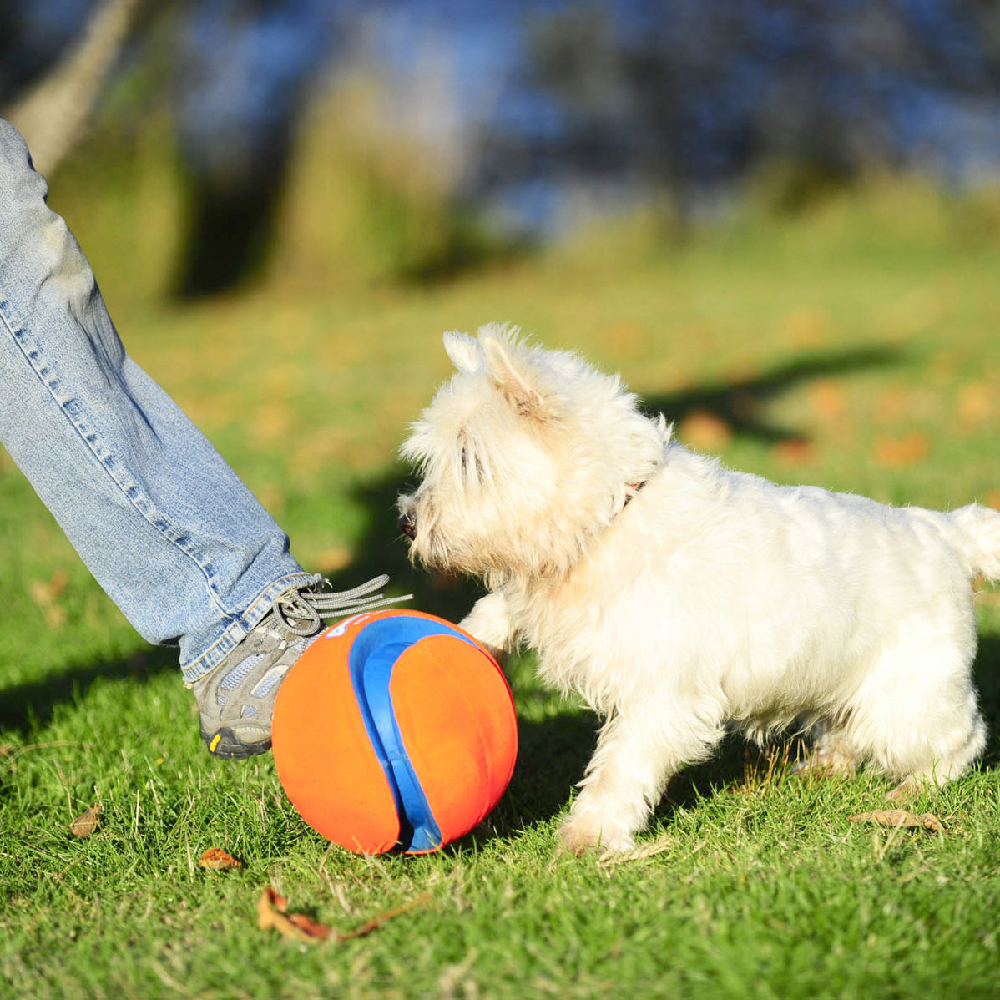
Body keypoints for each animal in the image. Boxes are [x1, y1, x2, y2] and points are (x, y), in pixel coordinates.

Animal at [396, 326, 992, 852]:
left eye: (470, 459)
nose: (406, 522)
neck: (611, 517)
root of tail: (949, 532)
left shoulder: (661, 693)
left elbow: (621, 768)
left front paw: (590, 835)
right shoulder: (544, 582)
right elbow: (500, 605)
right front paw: (468, 637)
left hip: (909, 698)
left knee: (961, 739)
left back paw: (913, 791)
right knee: (851, 731)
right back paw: (820, 768)